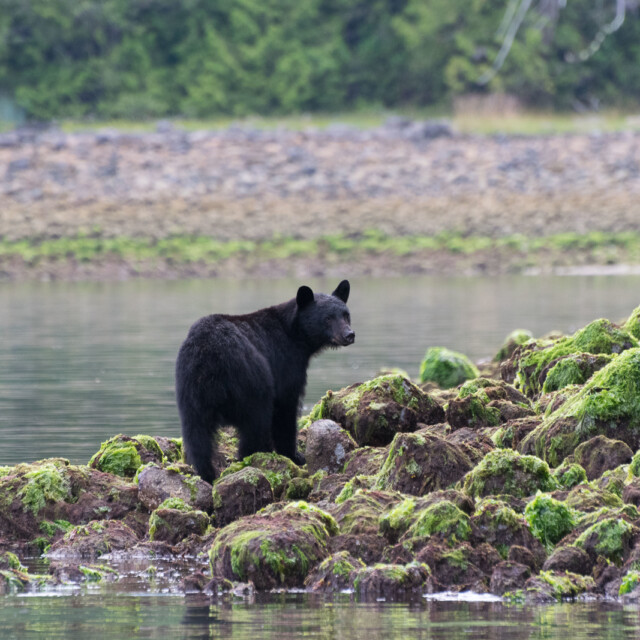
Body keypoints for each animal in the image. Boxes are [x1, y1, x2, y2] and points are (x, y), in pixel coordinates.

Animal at [175, 280, 355, 484]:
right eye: (328, 318)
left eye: (346, 315)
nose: (349, 334)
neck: (294, 333)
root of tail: (209, 356)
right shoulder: (286, 362)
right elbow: (286, 407)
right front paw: (295, 455)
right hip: (250, 379)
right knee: (256, 421)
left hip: (190, 390)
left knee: (197, 434)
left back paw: (207, 474)